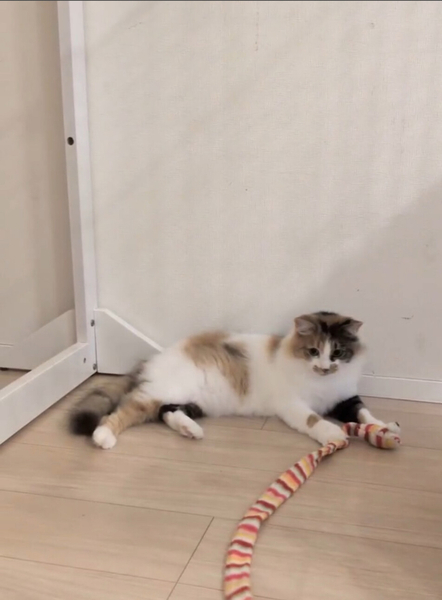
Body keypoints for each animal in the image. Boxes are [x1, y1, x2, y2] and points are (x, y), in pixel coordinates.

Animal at [69, 311, 399, 449]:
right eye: (314, 351)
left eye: (338, 352)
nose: (325, 366)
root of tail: (151, 360)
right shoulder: (293, 404)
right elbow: (313, 420)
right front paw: (333, 434)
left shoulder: (346, 398)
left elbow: (365, 413)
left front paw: (385, 427)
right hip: (164, 391)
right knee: (124, 411)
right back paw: (103, 437)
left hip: (193, 401)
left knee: (167, 413)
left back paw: (191, 431)